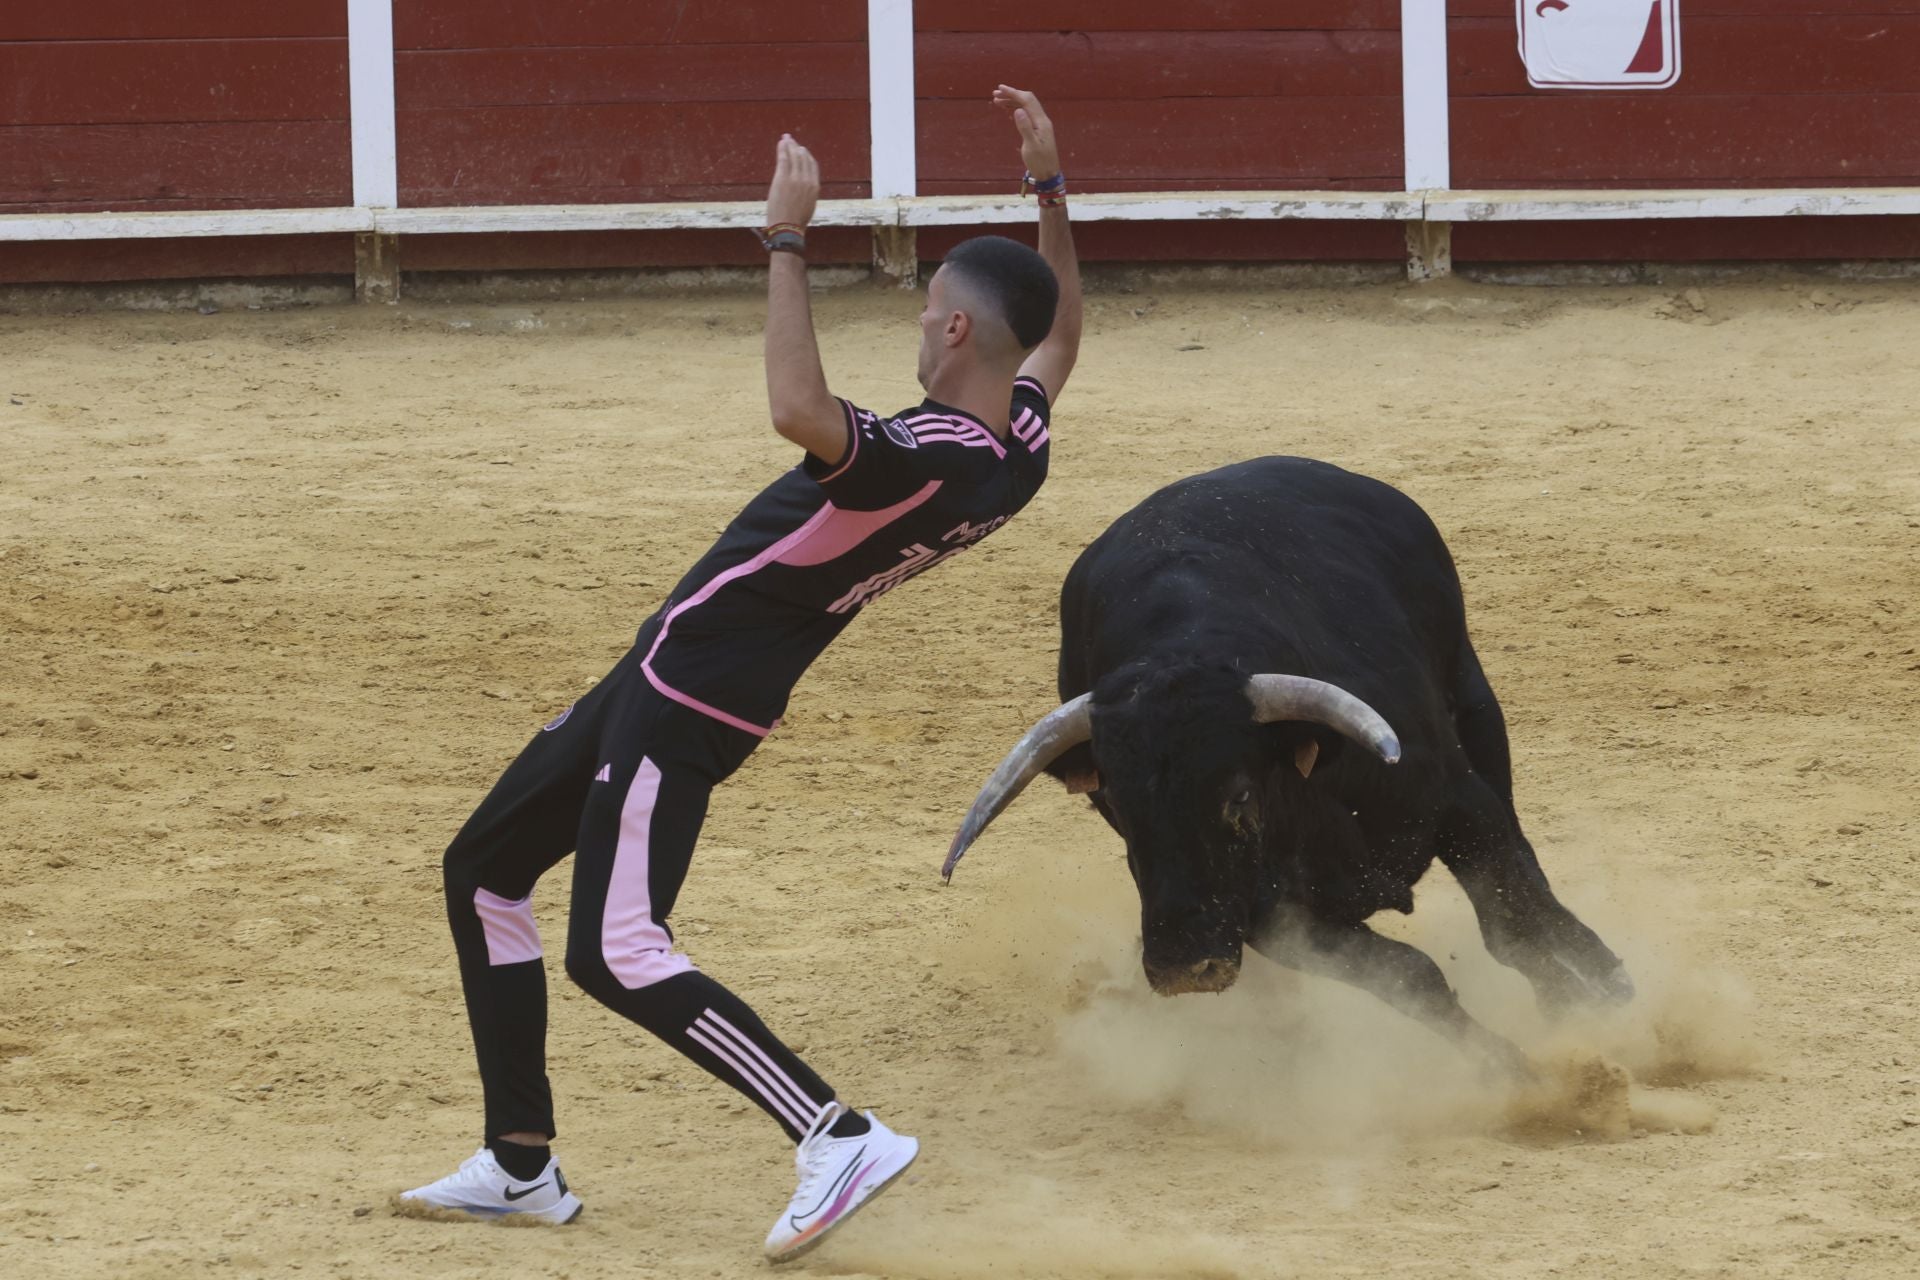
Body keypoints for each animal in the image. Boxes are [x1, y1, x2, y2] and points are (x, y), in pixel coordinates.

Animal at [942, 457, 1633, 1074]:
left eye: (1240, 797)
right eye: (1118, 806)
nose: (1183, 967)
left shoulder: (1460, 806)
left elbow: (1513, 919)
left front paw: (1594, 1003)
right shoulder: (1276, 923)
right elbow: (1414, 977)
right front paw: (1510, 1068)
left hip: (1475, 700)